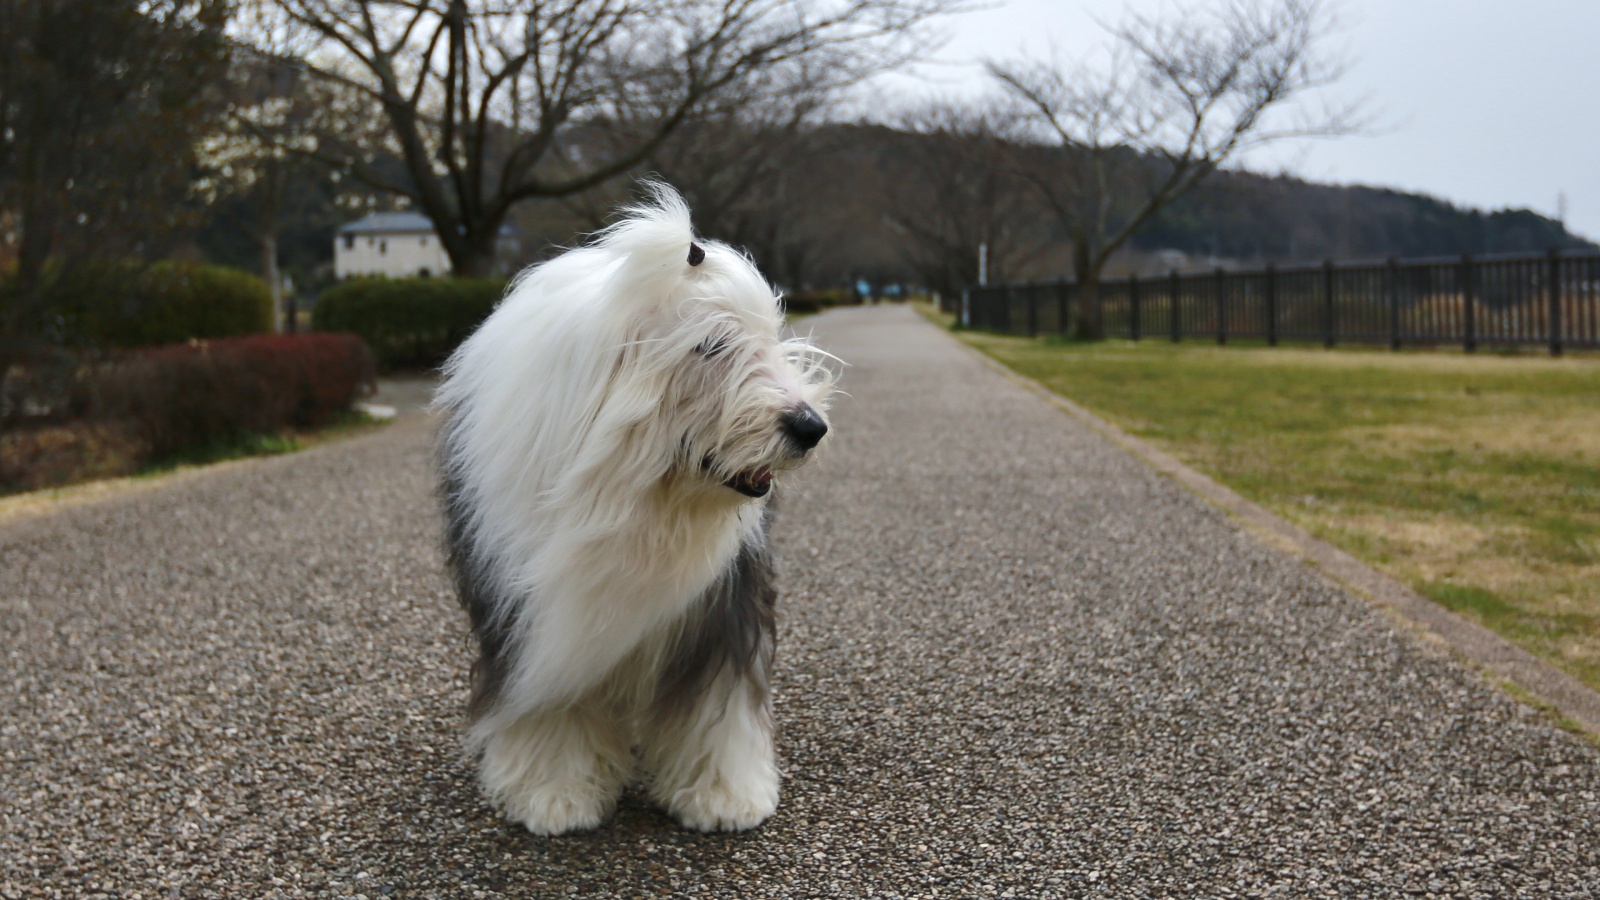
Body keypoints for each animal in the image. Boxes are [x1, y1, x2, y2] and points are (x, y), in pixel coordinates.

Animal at [434, 184, 835, 835]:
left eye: (769, 335)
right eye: (711, 345)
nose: (810, 426)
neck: (639, 498)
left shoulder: (721, 602)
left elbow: (715, 703)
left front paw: (722, 797)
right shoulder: (531, 611)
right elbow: (551, 698)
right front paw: (554, 794)